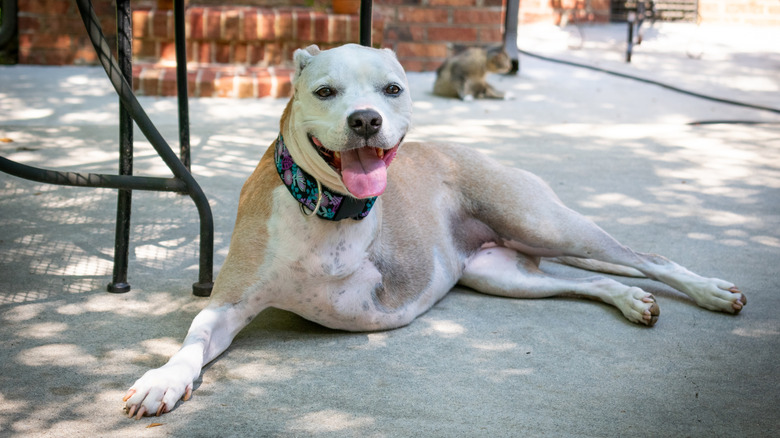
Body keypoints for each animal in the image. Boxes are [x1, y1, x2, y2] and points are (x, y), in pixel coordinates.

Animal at [120, 43, 744, 418]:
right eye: (325, 92)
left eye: (392, 89)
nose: (365, 119)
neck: (325, 203)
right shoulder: (227, 304)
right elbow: (193, 340)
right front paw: (163, 379)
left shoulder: (374, 271)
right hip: (504, 273)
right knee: (592, 280)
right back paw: (631, 300)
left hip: (542, 224)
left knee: (647, 257)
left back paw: (710, 290)